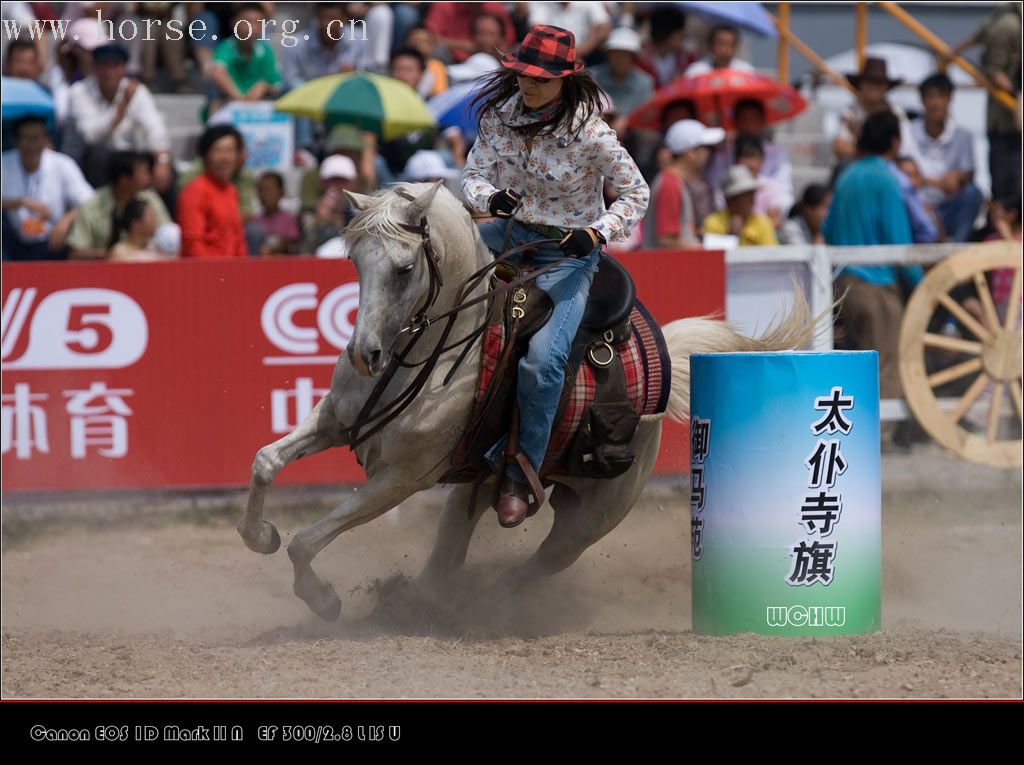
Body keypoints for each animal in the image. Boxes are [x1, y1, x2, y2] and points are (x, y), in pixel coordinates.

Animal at [234, 181, 815, 622]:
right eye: (355, 261)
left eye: (403, 268)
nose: (365, 354)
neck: (440, 350)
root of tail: (661, 355)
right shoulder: (335, 419)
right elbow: (264, 461)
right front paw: (259, 534)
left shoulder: (402, 478)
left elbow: (308, 540)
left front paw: (322, 598)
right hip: (477, 488)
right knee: (446, 558)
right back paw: (421, 602)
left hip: (593, 517)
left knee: (538, 564)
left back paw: (478, 606)